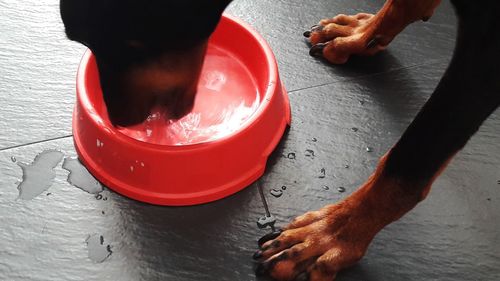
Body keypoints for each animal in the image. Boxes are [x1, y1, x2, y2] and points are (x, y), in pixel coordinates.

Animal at [61, 0, 500, 278]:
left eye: (129, 41)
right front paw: (362, 34)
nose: (118, 122)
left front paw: (329, 235)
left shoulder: (487, 48)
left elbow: (405, 166)